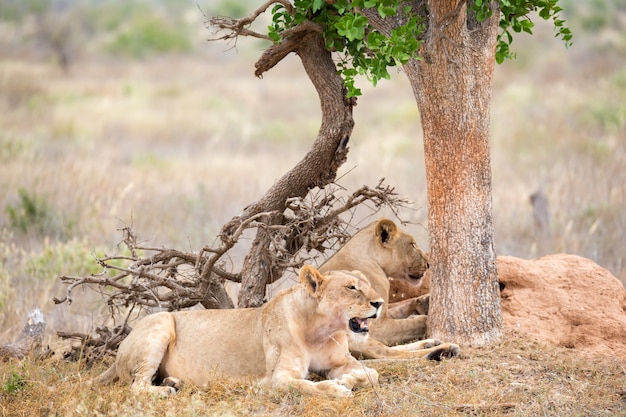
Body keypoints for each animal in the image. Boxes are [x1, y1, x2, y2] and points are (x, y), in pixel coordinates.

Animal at [93, 264, 382, 394]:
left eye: (366, 285)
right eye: (351, 288)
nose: (379, 302)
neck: (319, 331)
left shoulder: (340, 360)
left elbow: (373, 374)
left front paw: (346, 379)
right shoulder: (278, 378)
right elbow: (308, 386)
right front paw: (337, 388)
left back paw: (174, 381)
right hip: (161, 322)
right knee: (137, 386)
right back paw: (166, 390)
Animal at [322, 219, 458, 360]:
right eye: (412, 245)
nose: (428, 264)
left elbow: (399, 308)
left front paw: (424, 302)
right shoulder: (376, 327)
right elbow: (414, 324)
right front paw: (422, 317)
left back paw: (430, 343)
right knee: (392, 354)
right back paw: (445, 349)